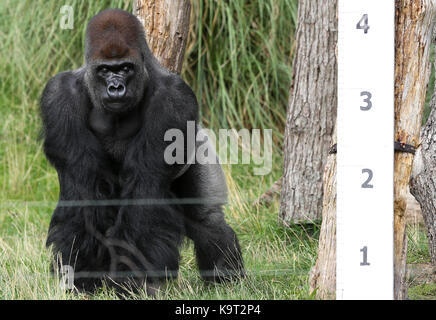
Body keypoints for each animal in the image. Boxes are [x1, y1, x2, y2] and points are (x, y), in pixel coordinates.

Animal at [40, 9, 245, 296]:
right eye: (105, 70)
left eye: (125, 68)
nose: (116, 88)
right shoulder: (58, 95)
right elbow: (83, 188)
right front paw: (83, 275)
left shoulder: (173, 98)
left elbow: (146, 188)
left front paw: (132, 281)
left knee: (207, 220)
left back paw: (225, 280)